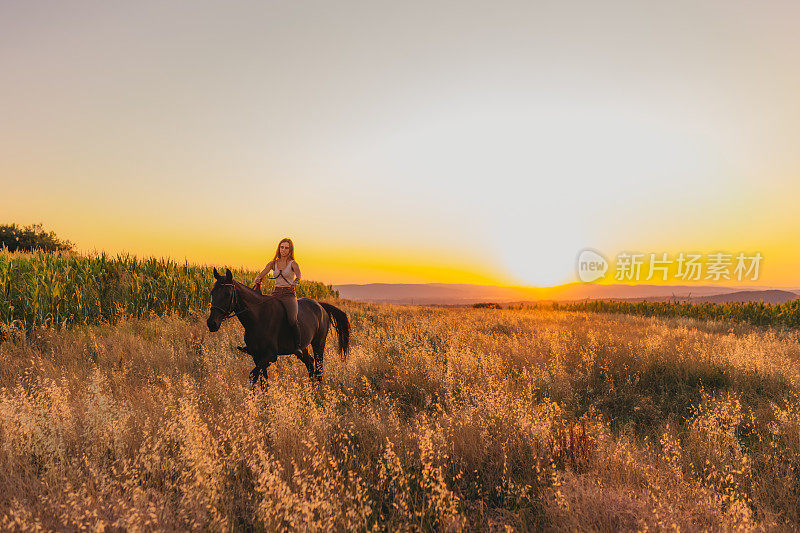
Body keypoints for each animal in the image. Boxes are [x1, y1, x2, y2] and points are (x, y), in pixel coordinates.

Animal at [205, 268, 348, 384]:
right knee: (310, 364)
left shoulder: (270, 356)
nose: (211, 323)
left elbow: (253, 375)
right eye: (212, 292)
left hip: (319, 343)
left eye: (227, 294)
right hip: (304, 347)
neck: (257, 317)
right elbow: (262, 380)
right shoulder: (257, 356)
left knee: (319, 368)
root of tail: (320, 306)